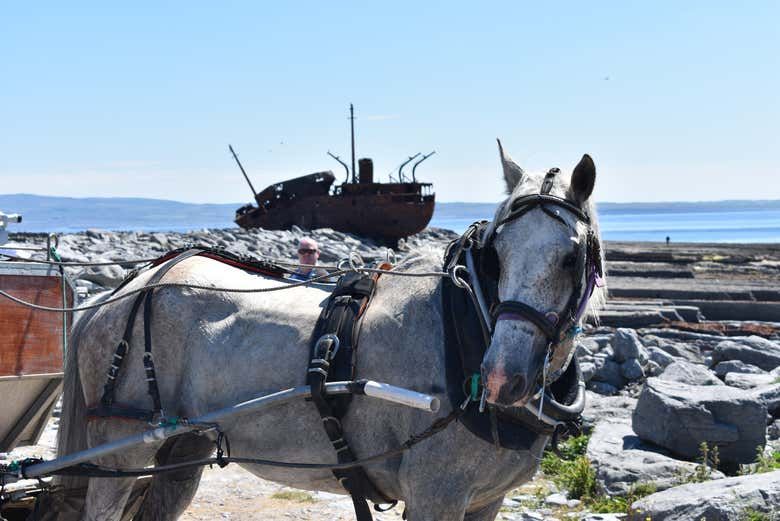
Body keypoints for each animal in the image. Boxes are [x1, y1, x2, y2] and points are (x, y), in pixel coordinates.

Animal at [58, 143, 608, 520]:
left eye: (571, 257)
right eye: (496, 254)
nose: (500, 377)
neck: (465, 328)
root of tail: (130, 286)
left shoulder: (485, 502)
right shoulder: (436, 496)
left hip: (180, 450)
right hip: (121, 451)